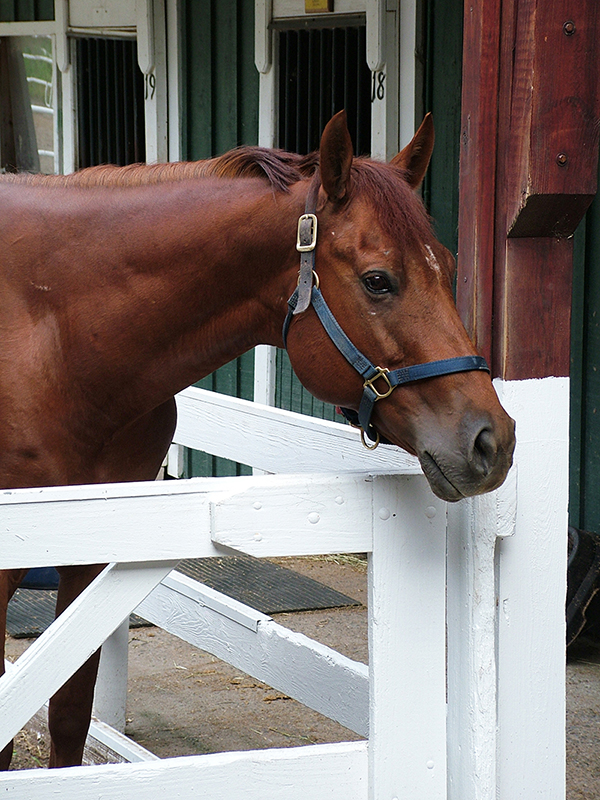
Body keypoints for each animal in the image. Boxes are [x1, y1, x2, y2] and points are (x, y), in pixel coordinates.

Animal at [0, 111, 515, 769]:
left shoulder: (91, 556)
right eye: (378, 281)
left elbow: (68, 713)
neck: (53, 339)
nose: (490, 441)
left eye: (447, 268)